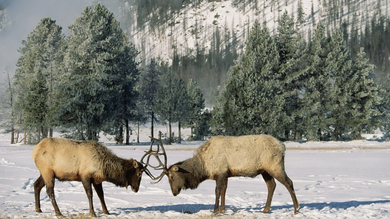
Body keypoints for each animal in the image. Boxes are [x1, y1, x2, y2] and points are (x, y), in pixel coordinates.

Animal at [143, 134, 302, 215]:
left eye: (171, 176)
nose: (174, 192)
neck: (204, 167)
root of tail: (283, 146)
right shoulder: (225, 174)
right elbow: (224, 191)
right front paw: (223, 210)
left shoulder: (220, 172)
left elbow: (217, 191)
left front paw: (215, 211)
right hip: (264, 170)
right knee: (272, 185)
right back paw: (265, 209)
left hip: (275, 166)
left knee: (289, 183)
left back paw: (296, 209)